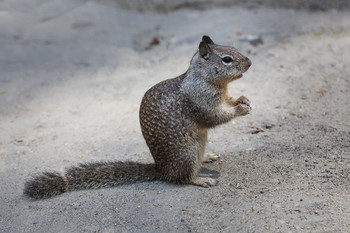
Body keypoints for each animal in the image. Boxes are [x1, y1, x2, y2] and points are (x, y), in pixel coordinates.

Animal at [23, 35, 252, 199]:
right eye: (227, 59)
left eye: (233, 48)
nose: (249, 62)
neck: (205, 79)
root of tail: (160, 169)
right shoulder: (200, 100)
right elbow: (213, 117)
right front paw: (240, 110)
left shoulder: (223, 94)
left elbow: (229, 99)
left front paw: (243, 99)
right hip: (186, 154)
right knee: (180, 179)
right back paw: (201, 179)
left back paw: (207, 157)